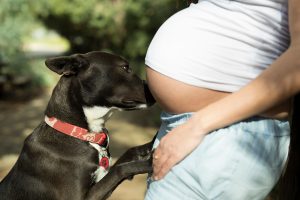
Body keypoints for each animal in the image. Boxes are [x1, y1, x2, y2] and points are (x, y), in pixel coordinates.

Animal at [0, 52, 155, 200]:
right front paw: (150, 162)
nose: (154, 89)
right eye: (125, 67)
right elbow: (120, 169)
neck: (78, 133)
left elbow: (127, 154)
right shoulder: (81, 197)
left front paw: (151, 143)